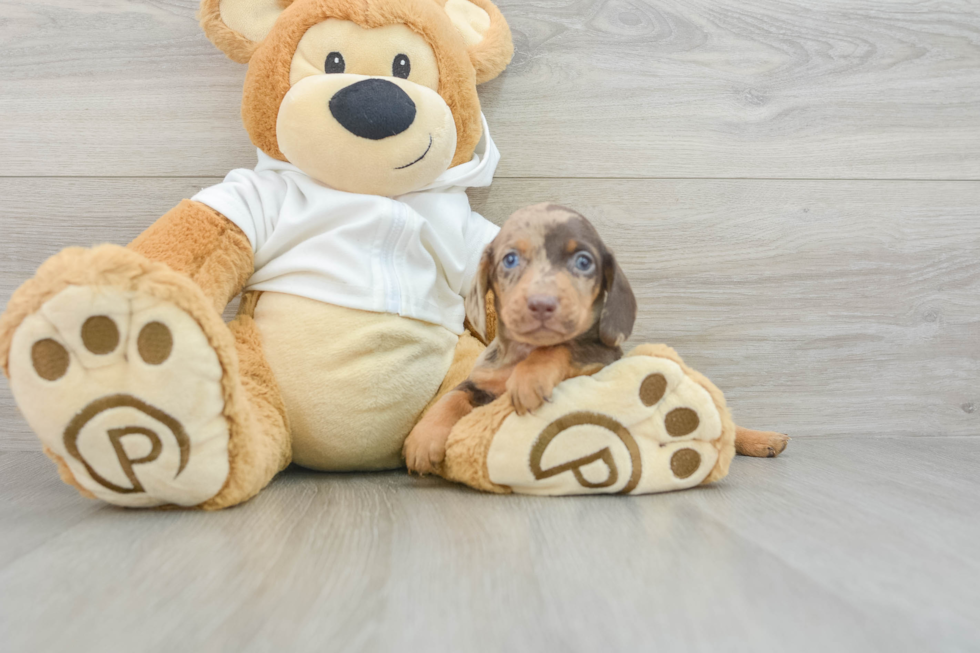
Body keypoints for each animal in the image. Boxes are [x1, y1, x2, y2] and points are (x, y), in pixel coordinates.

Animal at [400, 204, 636, 474]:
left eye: (584, 261)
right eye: (510, 259)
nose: (542, 303)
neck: (523, 350)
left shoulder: (604, 358)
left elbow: (561, 347)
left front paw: (529, 378)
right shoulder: (480, 382)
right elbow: (451, 396)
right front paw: (424, 436)